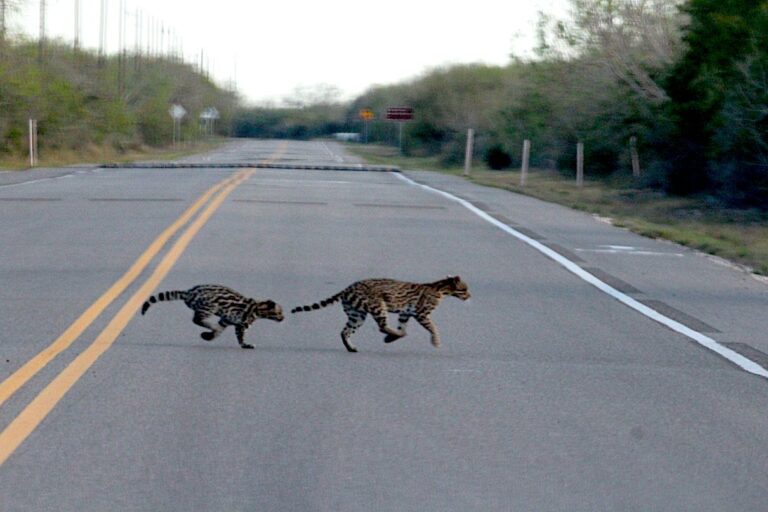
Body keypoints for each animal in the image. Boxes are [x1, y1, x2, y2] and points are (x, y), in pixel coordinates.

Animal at [140, 284, 282, 348]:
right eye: (280, 312)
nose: (283, 318)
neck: (258, 308)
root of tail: (188, 293)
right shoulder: (241, 323)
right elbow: (240, 337)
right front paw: (245, 345)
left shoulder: (226, 319)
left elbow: (218, 331)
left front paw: (208, 337)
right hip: (209, 306)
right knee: (196, 319)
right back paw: (210, 325)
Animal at [292, 276, 468, 352]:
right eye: (465, 289)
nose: (470, 296)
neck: (442, 289)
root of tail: (348, 287)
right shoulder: (421, 314)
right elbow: (433, 328)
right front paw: (436, 342)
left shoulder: (405, 314)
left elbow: (403, 329)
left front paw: (395, 335)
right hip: (377, 306)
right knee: (381, 326)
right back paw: (389, 335)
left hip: (357, 315)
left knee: (345, 331)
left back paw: (352, 347)